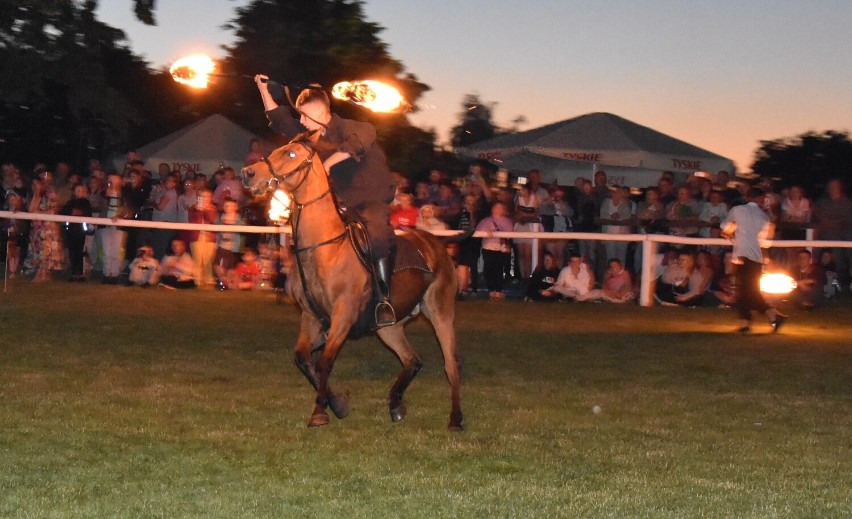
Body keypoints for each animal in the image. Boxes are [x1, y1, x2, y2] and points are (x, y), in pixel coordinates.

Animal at [240, 132, 466, 432]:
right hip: (388, 327)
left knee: (451, 365)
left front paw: (320, 411)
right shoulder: (311, 318)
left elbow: (324, 362)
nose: (248, 173)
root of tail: (435, 243)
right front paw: (337, 404)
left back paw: (455, 418)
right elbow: (303, 359)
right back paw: (395, 404)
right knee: (412, 360)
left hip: (441, 313)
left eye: (291, 154)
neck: (326, 249)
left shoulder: (343, 316)